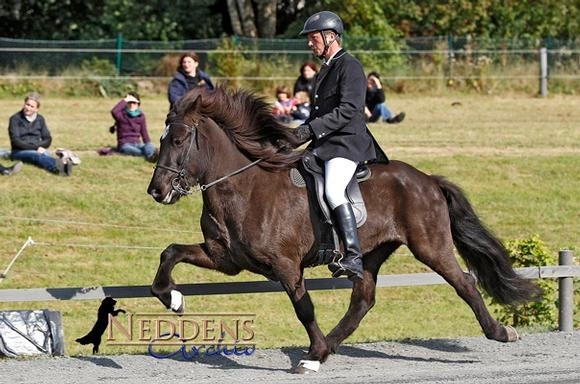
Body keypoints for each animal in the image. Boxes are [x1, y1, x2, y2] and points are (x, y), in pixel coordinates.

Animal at [147, 85, 540, 374]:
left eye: (178, 140)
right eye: (162, 139)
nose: (157, 190)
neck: (244, 188)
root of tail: (427, 179)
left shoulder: (286, 265)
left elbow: (303, 308)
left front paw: (312, 353)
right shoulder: (224, 258)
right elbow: (171, 252)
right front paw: (173, 299)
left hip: (430, 246)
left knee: (464, 283)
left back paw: (501, 332)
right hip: (371, 252)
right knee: (363, 299)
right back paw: (328, 348)